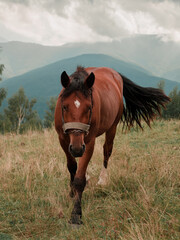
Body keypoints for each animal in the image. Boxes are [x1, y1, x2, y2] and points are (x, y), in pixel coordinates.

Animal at [54, 66, 169, 225]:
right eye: (64, 107)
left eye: (89, 107)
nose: (77, 148)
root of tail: (114, 73)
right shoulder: (63, 140)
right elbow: (72, 167)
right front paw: (71, 193)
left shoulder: (89, 142)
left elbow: (79, 179)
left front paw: (76, 215)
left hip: (112, 127)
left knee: (107, 151)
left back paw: (102, 179)